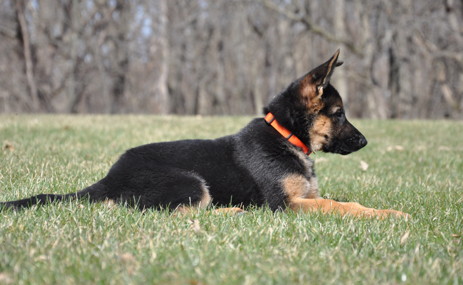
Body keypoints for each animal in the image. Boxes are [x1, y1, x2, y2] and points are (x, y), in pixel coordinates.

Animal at [1, 50, 410, 217]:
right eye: (339, 114)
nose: (365, 142)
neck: (285, 136)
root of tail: (109, 178)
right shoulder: (287, 204)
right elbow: (338, 206)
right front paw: (391, 216)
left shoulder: (305, 196)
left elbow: (346, 201)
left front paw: (387, 211)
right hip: (190, 181)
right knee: (172, 215)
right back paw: (232, 212)